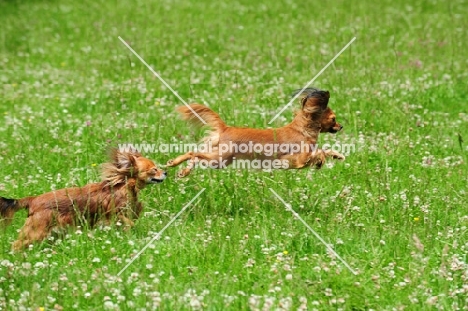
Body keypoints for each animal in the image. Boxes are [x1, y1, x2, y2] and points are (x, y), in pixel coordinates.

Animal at [0, 149, 167, 251]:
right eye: (154, 169)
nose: (165, 172)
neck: (123, 184)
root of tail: (33, 199)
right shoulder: (115, 213)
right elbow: (129, 222)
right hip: (37, 230)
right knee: (17, 244)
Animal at [167, 88, 344, 178]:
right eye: (333, 119)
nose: (341, 126)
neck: (303, 130)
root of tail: (225, 128)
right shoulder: (298, 159)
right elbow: (319, 152)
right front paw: (321, 160)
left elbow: (324, 150)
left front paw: (337, 155)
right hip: (220, 158)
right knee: (193, 153)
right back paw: (177, 165)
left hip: (221, 161)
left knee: (195, 155)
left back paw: (181, 169)